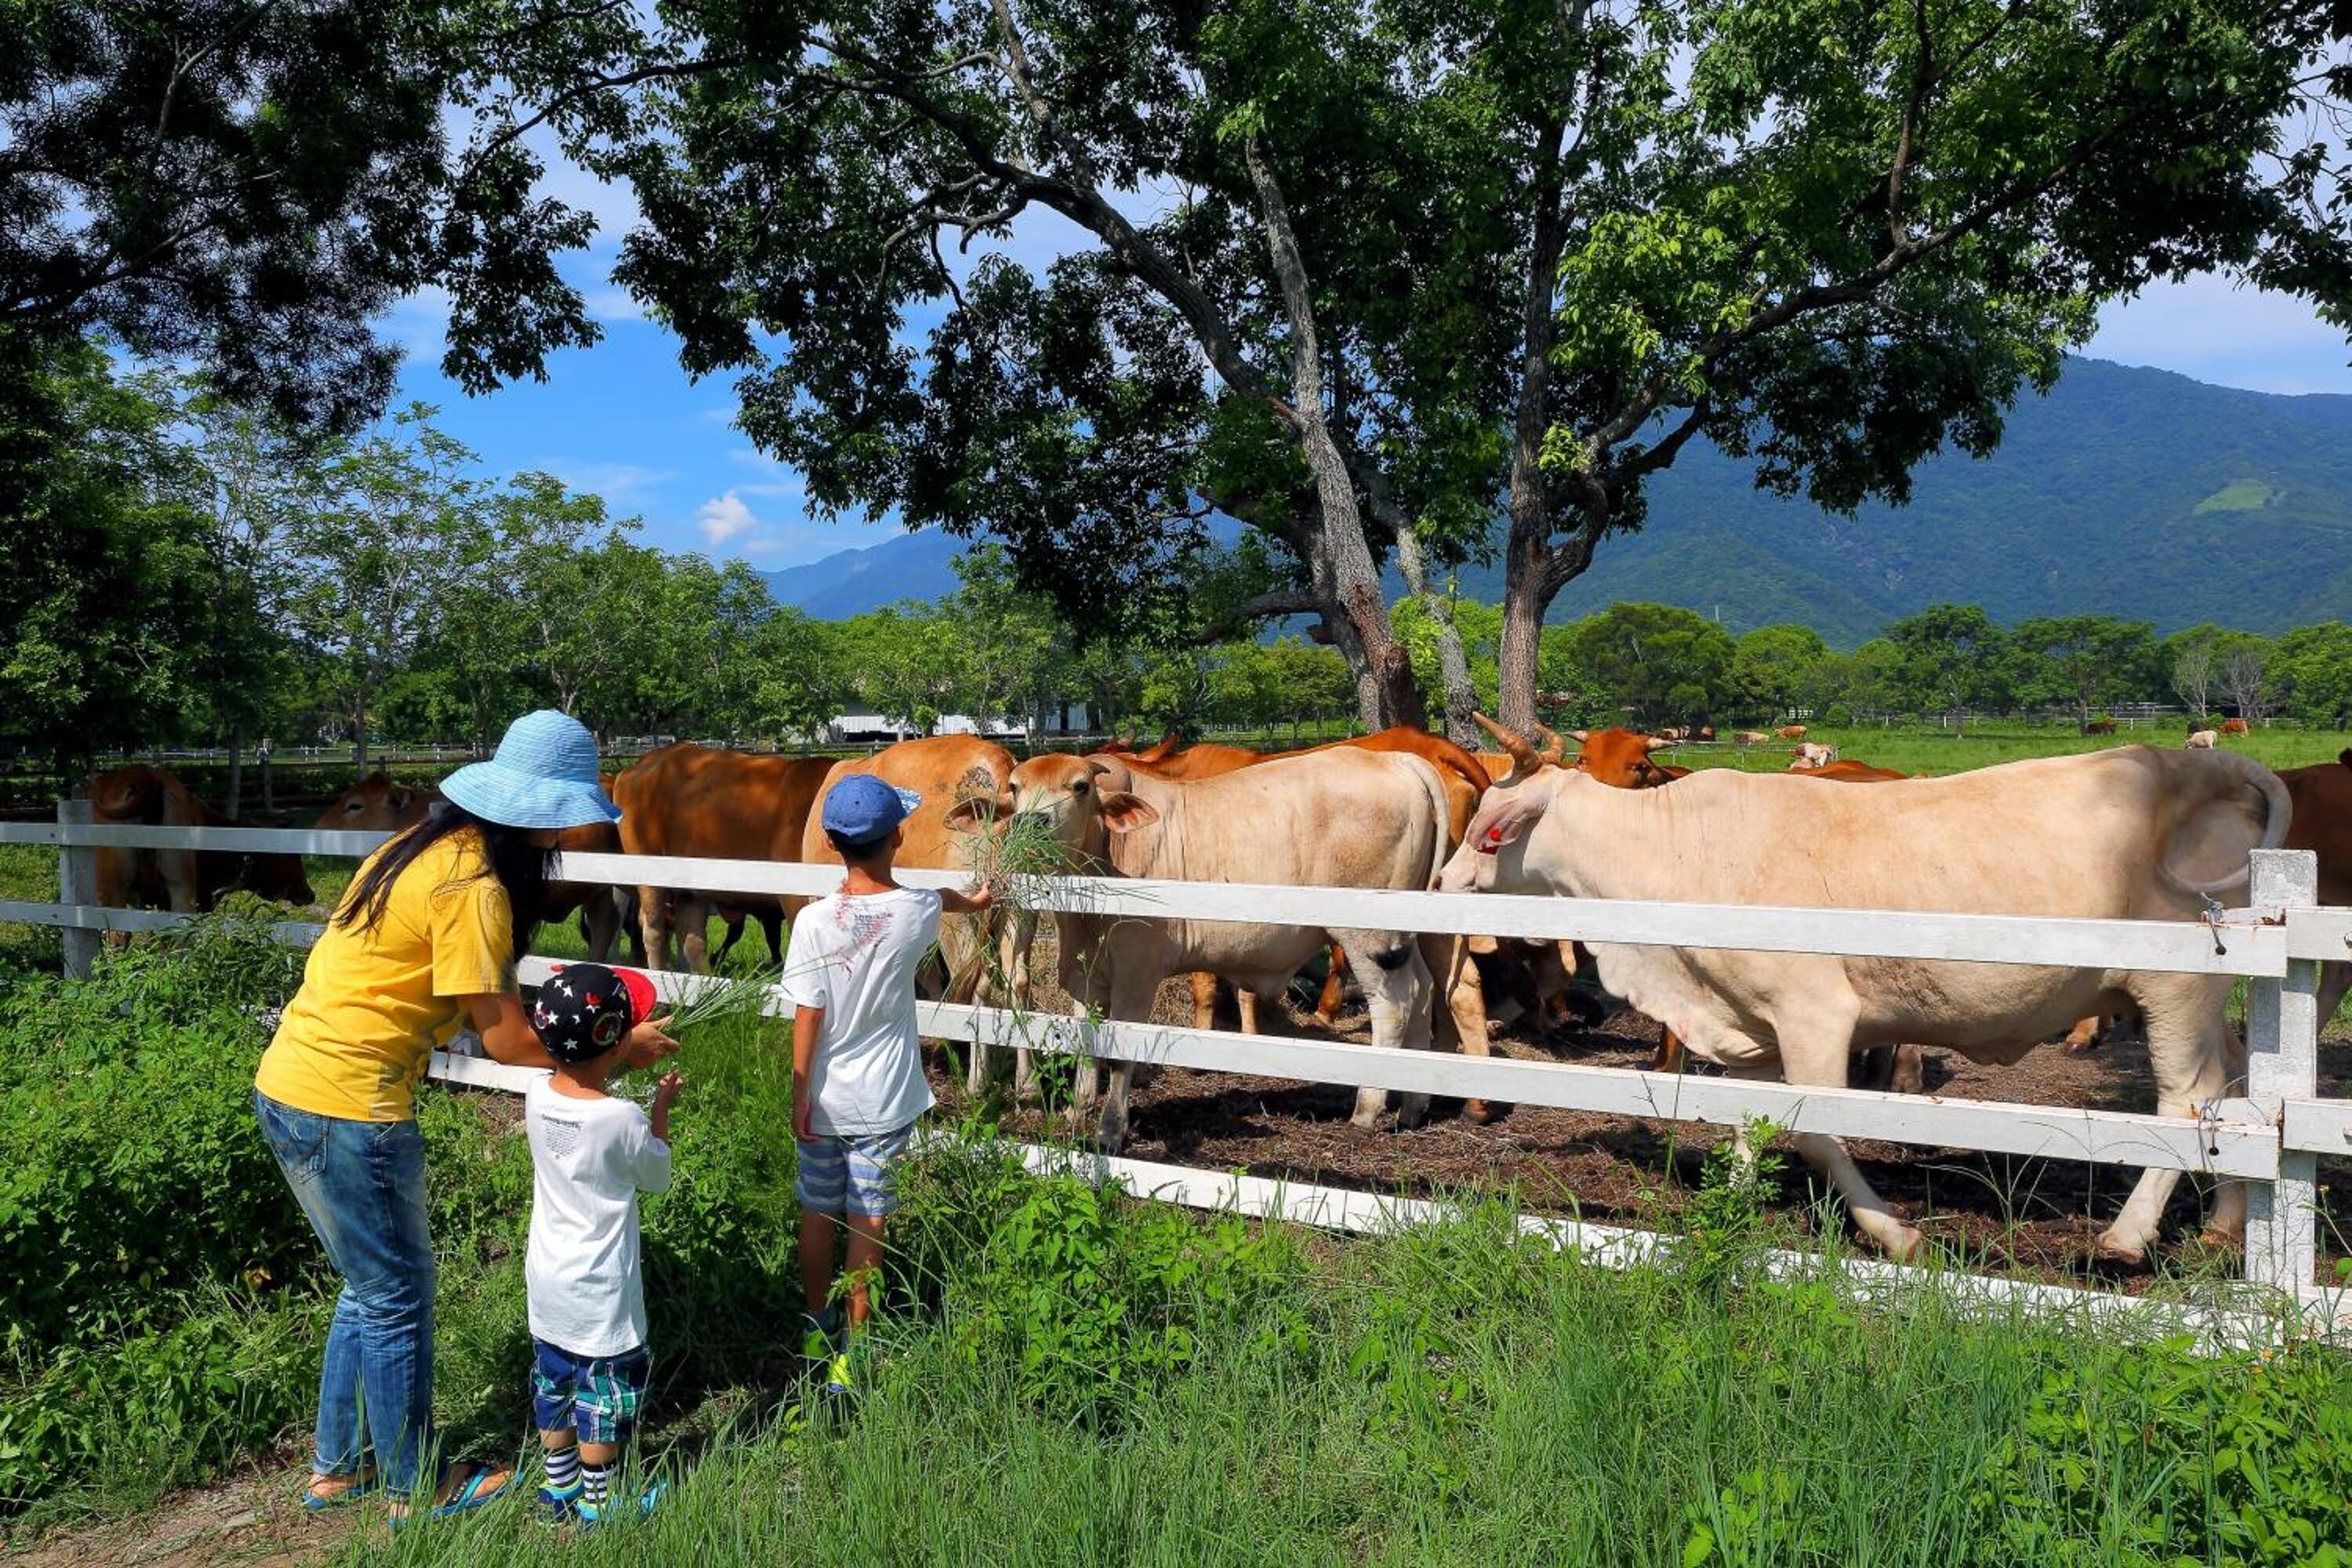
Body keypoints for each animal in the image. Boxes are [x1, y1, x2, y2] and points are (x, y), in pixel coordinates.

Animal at [954, 748, 1451, 1151]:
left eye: (1079, 786)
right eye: (1015, 788)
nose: (1029, 823)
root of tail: (1396, 759)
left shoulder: (1137, 975)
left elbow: (1120, 1055)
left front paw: (1111, 1129)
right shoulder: (1085, 972)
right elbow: (1087, 1044)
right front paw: (1077, 1113)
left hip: (1368, 937)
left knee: (1394, 1003)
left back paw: (1367, 1110)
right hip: (1407, 936)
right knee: (1425, 989)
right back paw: (1413, 1105)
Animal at [1439, 727, 2290, 1265]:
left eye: (1491, 830)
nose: (1442, 884)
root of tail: (2211, 765)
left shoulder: (1815, 1015)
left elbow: (1817, 1132)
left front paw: (1893, 1234)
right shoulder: (1746, 1025)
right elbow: (1745, 1124)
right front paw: (1727, 1213)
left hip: (2174, 986)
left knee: (2185, 1100)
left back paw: (2126, 1239)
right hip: (2205, 1003)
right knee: (2232, 1088)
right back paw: (2225, 1226)